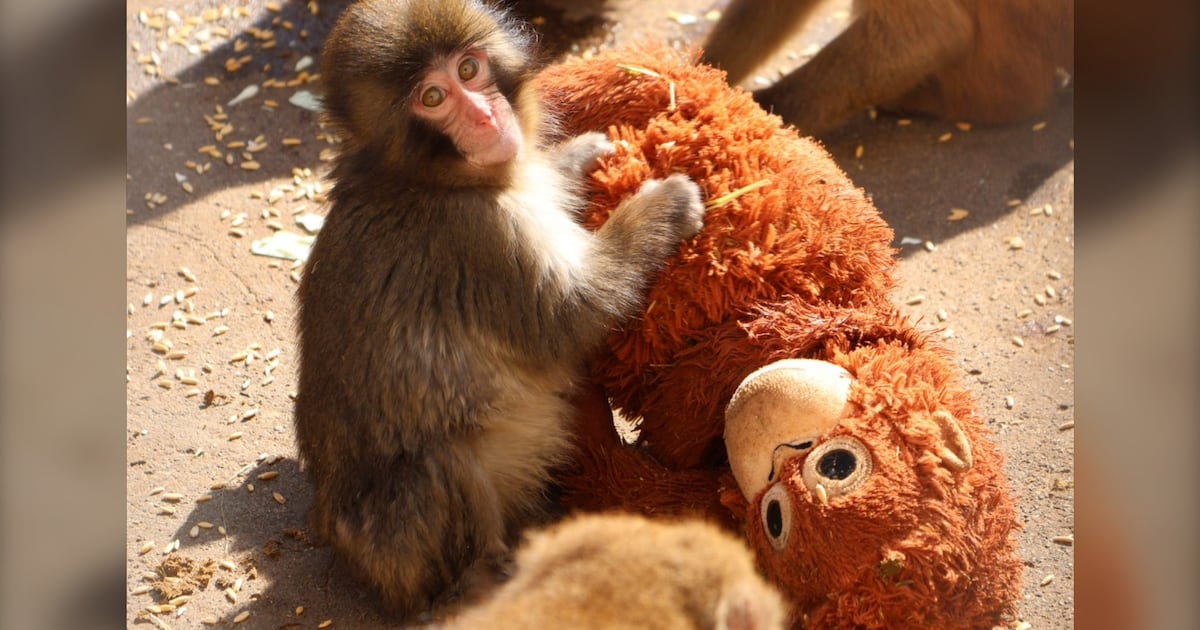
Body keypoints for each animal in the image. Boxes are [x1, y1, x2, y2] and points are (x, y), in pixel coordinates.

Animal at [294, 0, 706, 619]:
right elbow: (570, 316)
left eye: (469, 70)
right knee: (439, 465)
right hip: (398, 547)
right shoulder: (480, 237)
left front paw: (576, 156)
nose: (487, 117)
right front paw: (662, 206)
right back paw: (484, 581)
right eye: (432, 97)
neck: (427, 179)